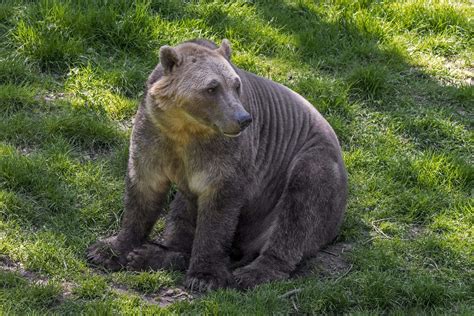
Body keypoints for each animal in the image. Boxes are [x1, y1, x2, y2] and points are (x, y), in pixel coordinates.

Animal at [87, 37, 348, 292]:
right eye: (212, 87)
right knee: (182, 212)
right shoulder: (154, 134)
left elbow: (219, 209)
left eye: (236, 85)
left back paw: (254, 273)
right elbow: (143, 188)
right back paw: (151, 255)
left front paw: (205, 276)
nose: (243, 119)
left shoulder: (225, 155)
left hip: (312, 166)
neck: (184, 127)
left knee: (300, 208)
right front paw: (107, 250)